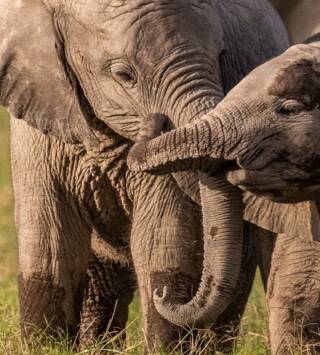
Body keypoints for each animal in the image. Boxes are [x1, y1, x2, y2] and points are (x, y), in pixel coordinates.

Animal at [0, 0, 296, 354]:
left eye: (222, 55)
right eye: (123, 75)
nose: (155, 123)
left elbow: (160, 244)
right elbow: (50, 245)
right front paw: (45, 347)